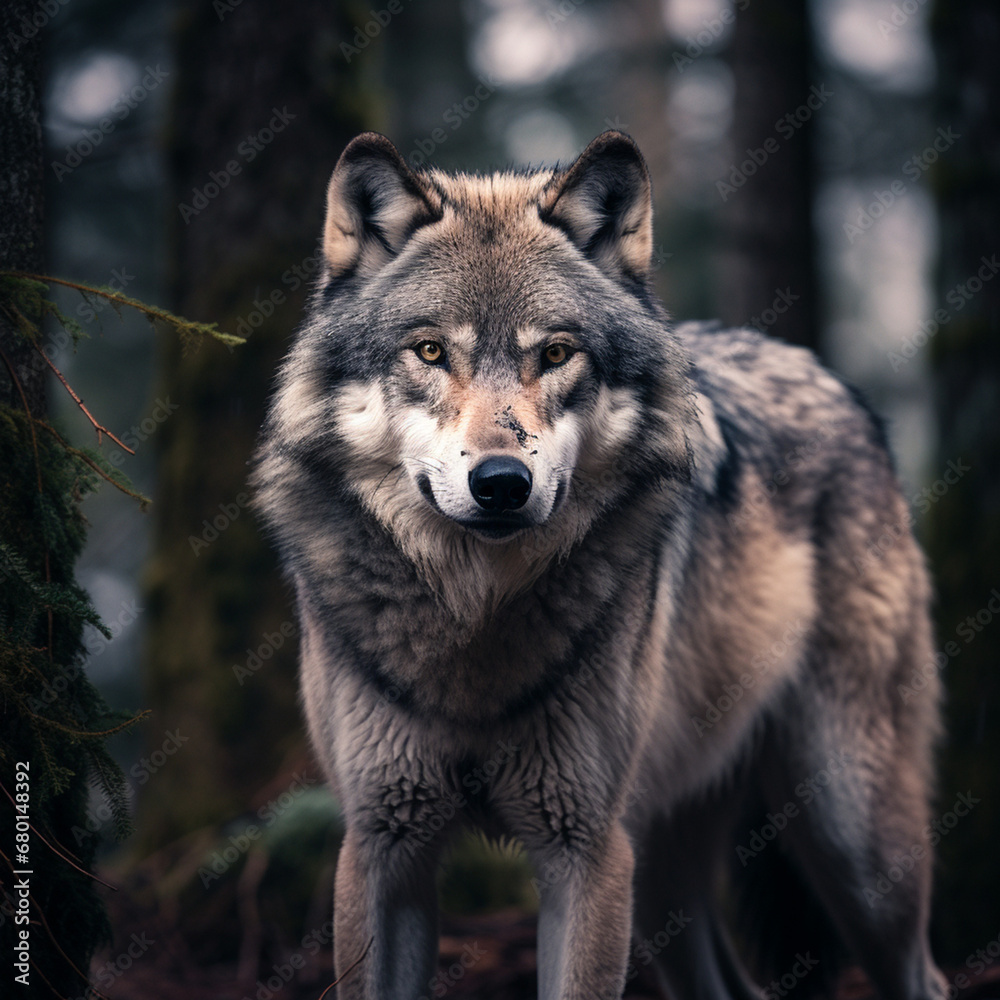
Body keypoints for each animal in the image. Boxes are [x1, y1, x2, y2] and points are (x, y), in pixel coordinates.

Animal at [252, 131, 945, 1000]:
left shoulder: (585, 849)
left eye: (555, 353)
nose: (501, 483)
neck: (478, 623)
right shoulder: (381, 848)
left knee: (923, 975)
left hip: (852, 837)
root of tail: (827, 376)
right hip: (666, 874)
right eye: (430, 351)